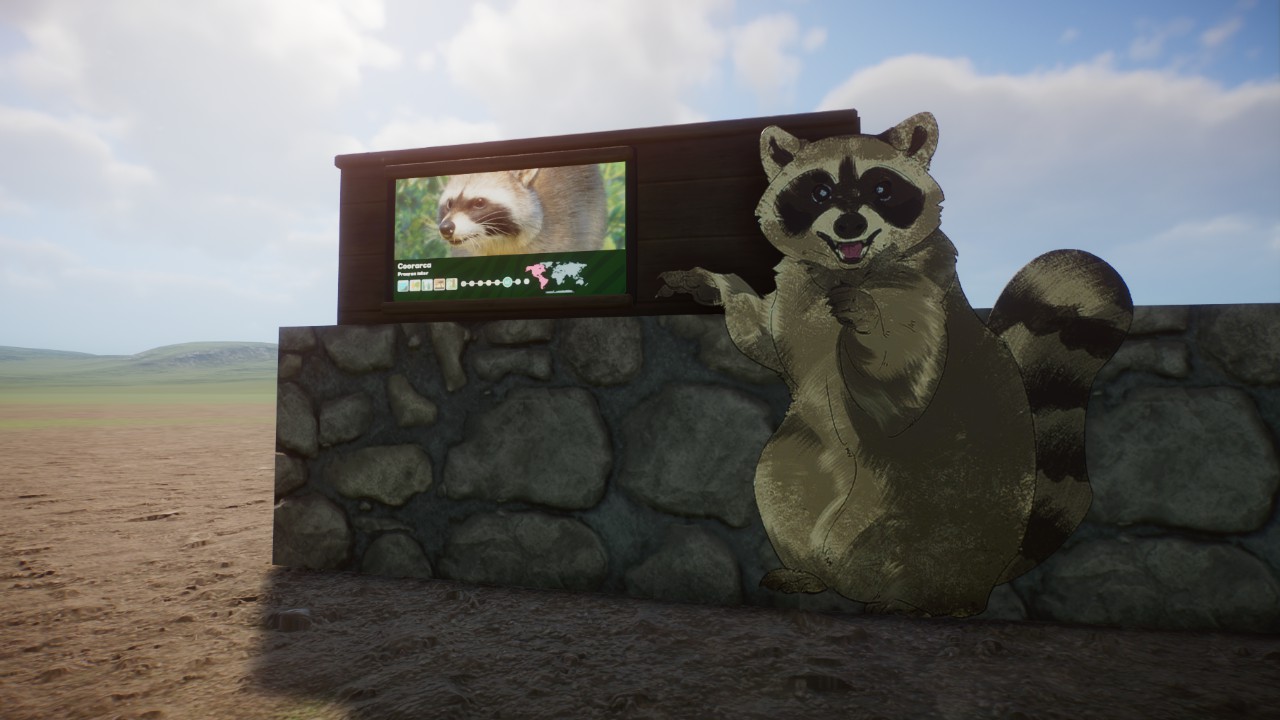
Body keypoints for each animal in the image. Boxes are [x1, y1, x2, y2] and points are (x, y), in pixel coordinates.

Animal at [658, 112, 1131, 616]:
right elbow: (761, 338)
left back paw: (919, 600)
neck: (845, 270)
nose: (849, 223)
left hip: (942, 518)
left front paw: (866, 320)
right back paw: (811, 573)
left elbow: (901, 390)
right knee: (778, 479)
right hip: (800, 477)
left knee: (926, 544)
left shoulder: (923, 293)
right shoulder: (792, 302)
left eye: (881, 189)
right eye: (819, 192)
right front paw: (715, 284)